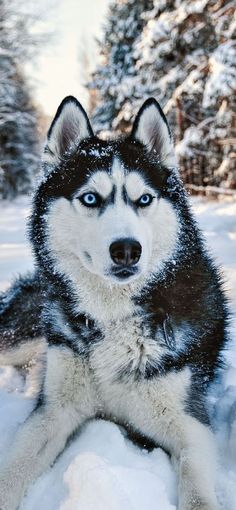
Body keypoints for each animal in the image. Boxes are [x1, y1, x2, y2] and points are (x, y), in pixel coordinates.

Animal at [0, 96, 228, 510]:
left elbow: (197, 493)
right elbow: (12, 471)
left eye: (145, 199)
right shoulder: (53, 410)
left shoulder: (190, 424)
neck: (114, 317)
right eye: (91, 198)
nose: (126, 249)